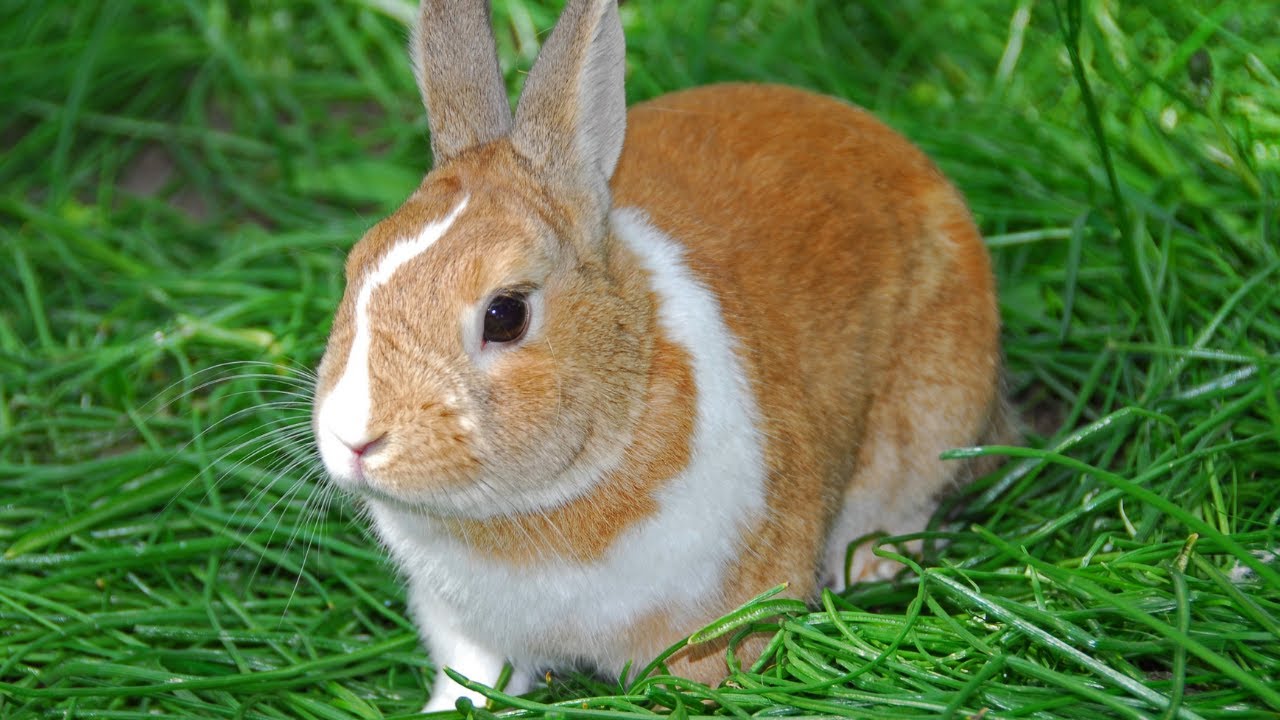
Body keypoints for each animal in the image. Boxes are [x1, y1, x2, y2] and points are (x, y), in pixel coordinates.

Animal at [311, 0, 1011, 712]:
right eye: (354, 269)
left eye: (505, 315)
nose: (354, 438)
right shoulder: (467, 631)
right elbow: (473, 677)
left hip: (932, 421)